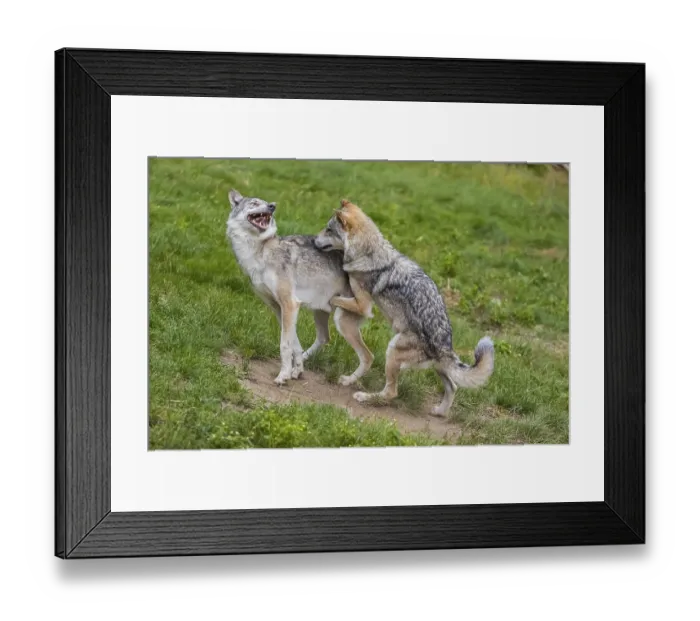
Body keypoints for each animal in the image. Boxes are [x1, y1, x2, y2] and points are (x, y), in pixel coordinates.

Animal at [226, 190, 374, 386]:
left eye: (266, 203)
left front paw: (283, 376)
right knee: (324, 338)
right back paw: (303, 362)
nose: (272, 206)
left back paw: (348, 381)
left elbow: (285, 345)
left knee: (368, 356)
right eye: (255, 203)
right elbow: (294, 343)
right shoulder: (279, 308)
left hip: (342, 322)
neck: (260, 252)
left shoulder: (289, 304)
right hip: (321, 311)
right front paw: (295, 370)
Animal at [314, 199, 495, 417]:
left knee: (391, 391)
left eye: (328, 229)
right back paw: (439, 411)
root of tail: (446, 344)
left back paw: (365, 397)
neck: (369, 252)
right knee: (453, 386)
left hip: (392, 351)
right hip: (438, 367)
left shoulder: (362, 305)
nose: (314, 240)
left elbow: (334, 299)